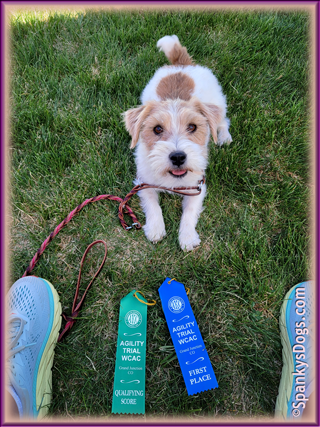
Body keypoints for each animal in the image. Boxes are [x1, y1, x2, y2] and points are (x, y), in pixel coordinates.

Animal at [124, 36, 231, 251]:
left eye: (192, 127)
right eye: (157, 129)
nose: (178, 157)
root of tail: (182, 64)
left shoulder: (197, 187)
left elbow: (189, 214)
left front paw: (187, 237)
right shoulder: (143, 182)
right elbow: (153, 206)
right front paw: (156, 228)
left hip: (219, 103)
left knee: (223, 121)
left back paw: (223, 137)